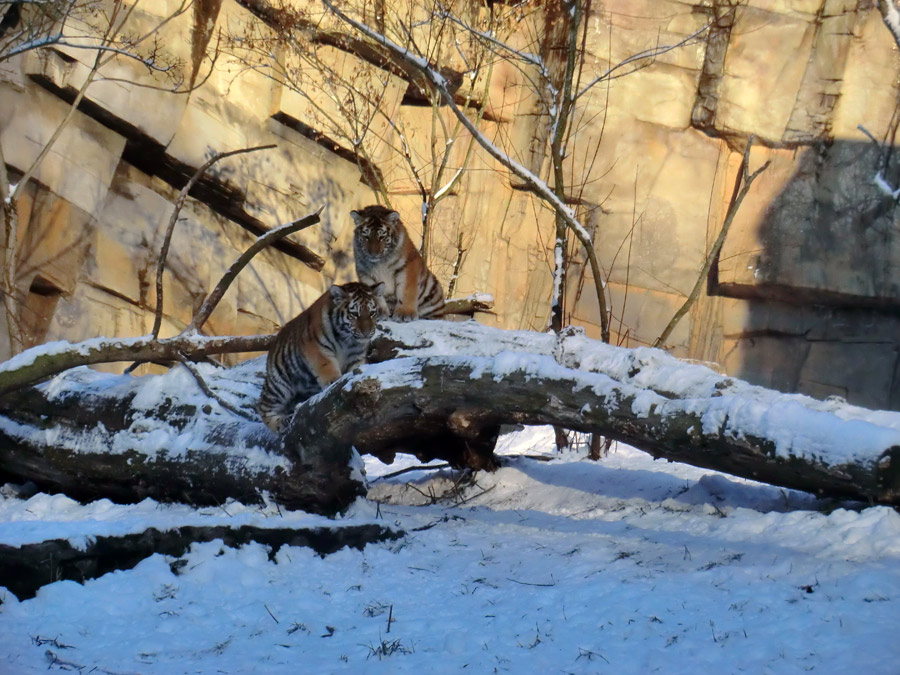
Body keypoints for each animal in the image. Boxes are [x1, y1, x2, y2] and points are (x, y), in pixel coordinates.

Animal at [256, 282, 384, 434]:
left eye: (372, 313)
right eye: (354, 314)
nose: (366, 332)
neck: (347, 340)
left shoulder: (355, 356)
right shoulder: (317, 349)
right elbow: (327, 368)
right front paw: (334, 382)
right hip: (278, 384)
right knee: (263, 408)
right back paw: (282, 421)